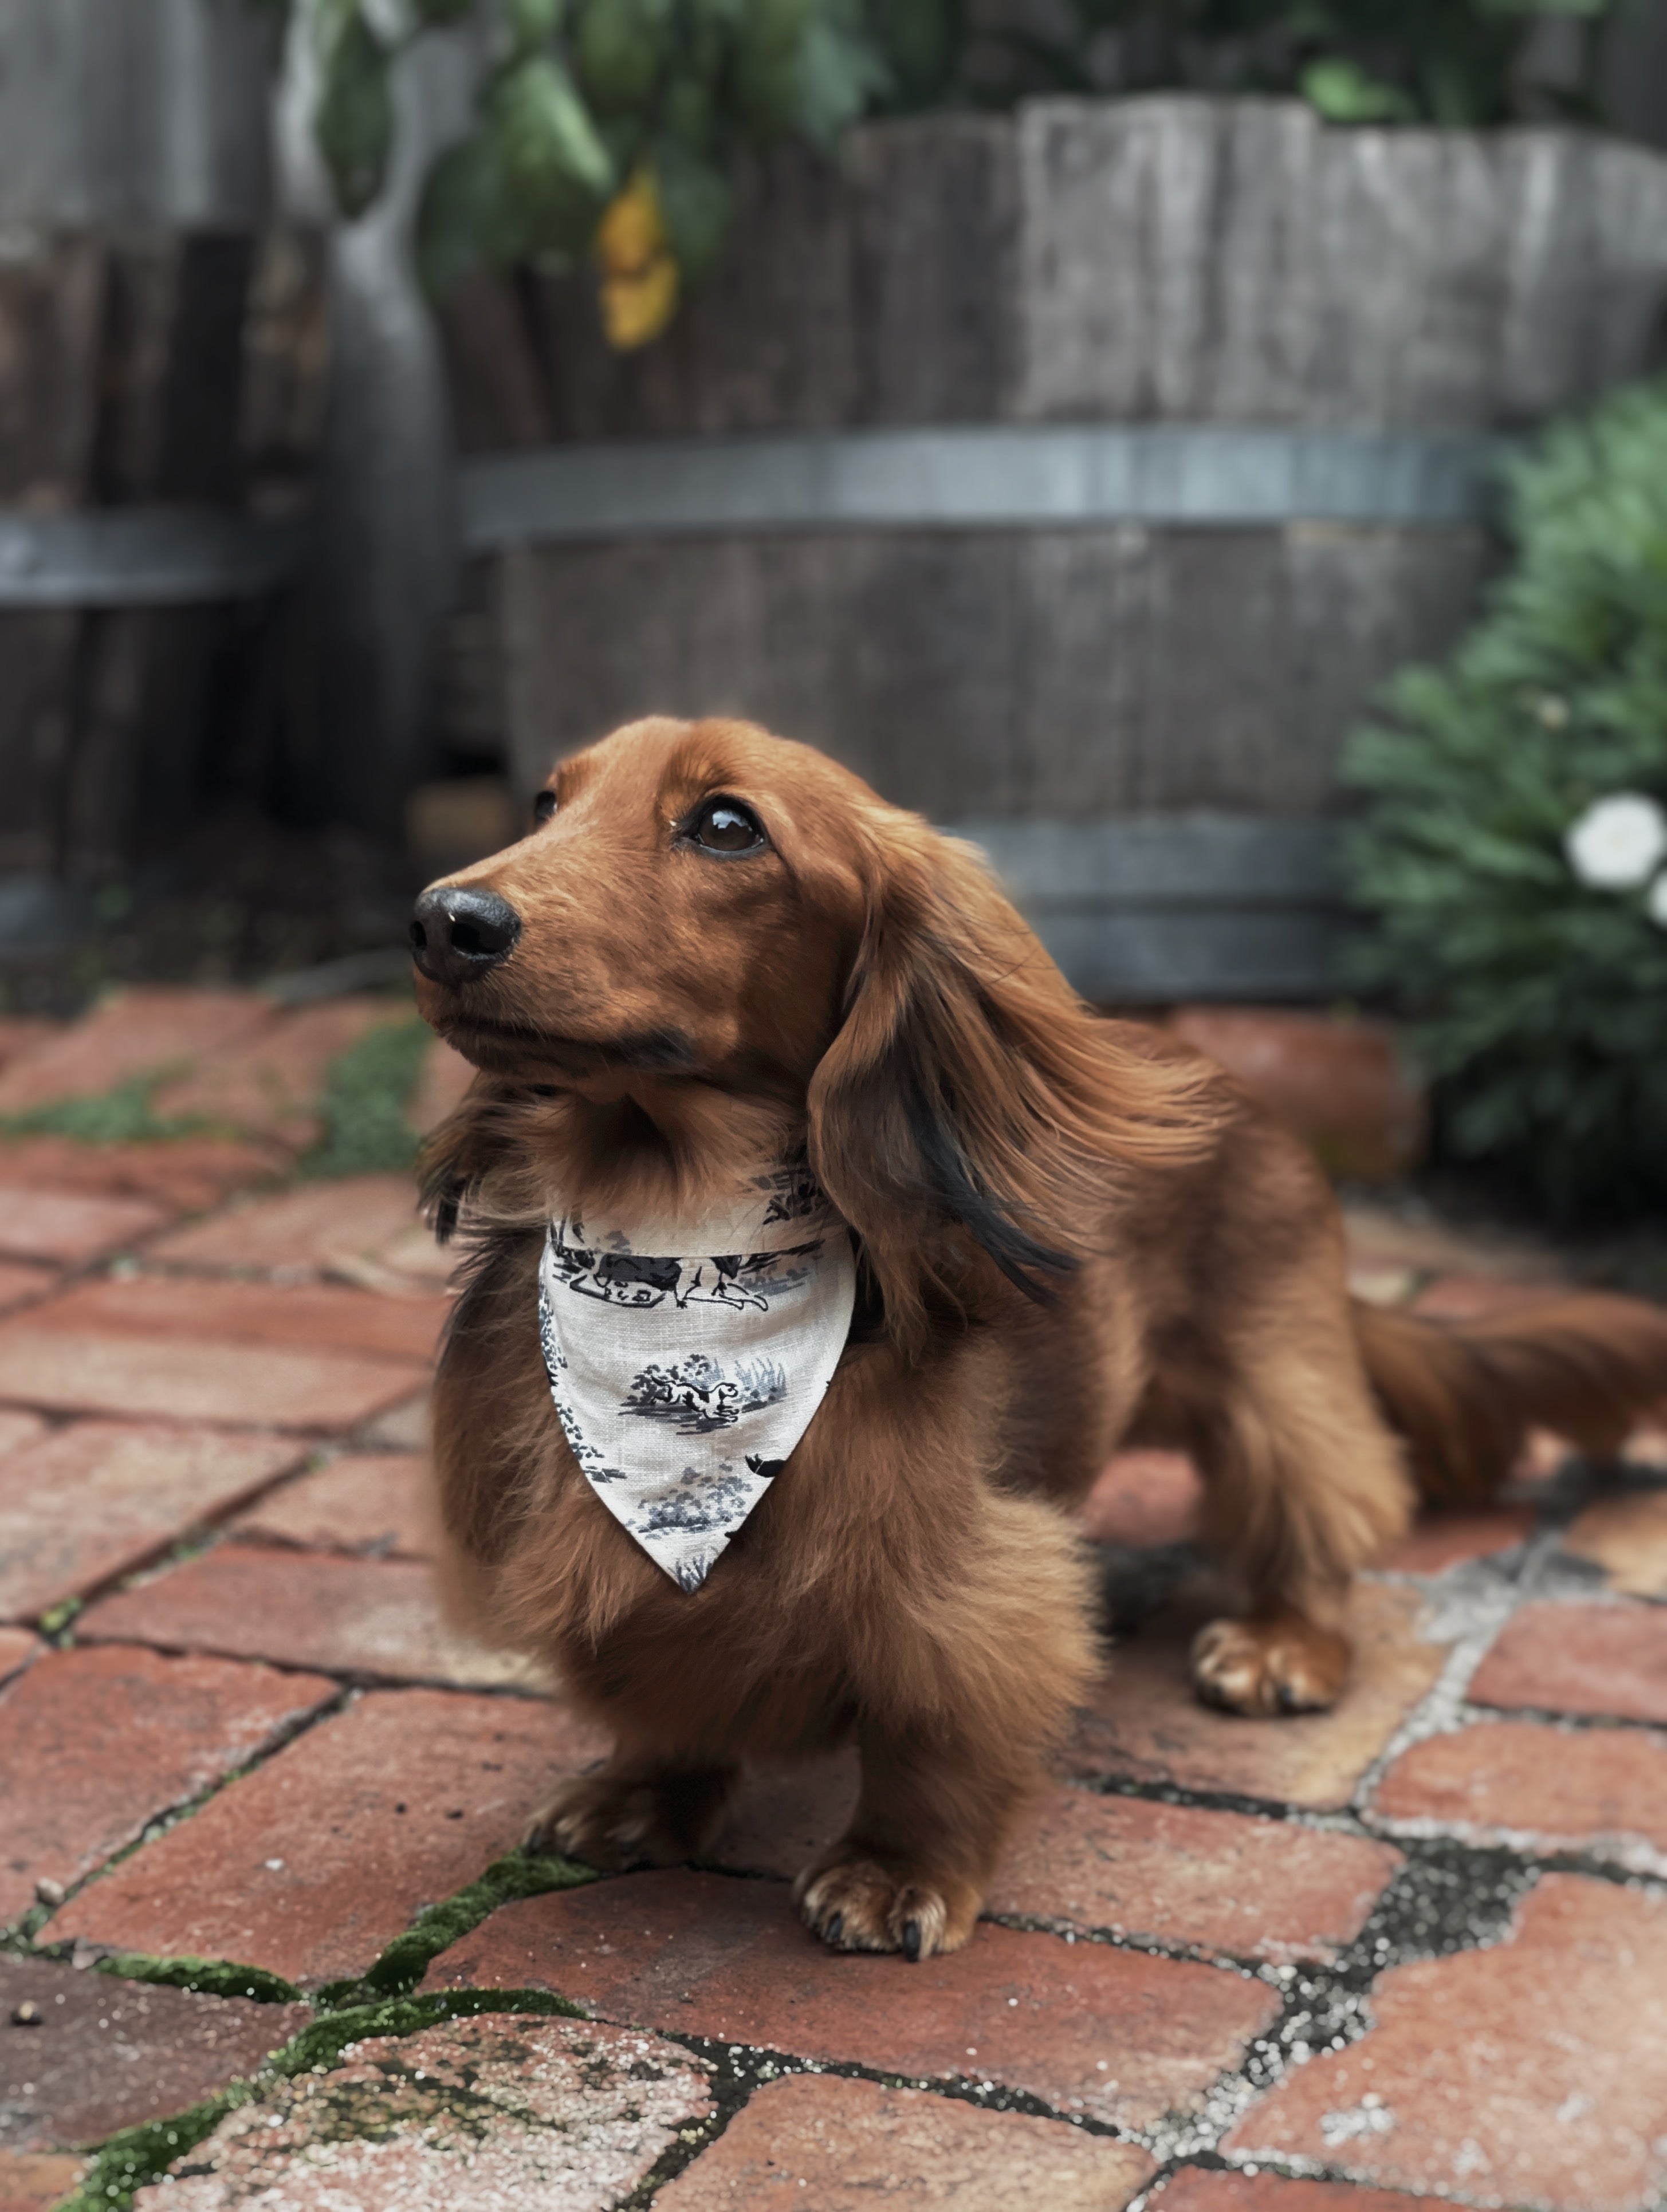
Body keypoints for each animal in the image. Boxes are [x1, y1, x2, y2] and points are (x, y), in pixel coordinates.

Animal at [409, 717, 1665, 1964]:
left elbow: (938, 1727)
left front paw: (896, 1867)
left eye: (727, 825)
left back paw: (1284, 1641)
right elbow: (663, 1682)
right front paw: (647, 1787)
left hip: (1279, 1377)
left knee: (1327, 1500)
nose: (441, 921)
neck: (681, 1232)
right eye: (546, 802)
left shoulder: (962, 1573)